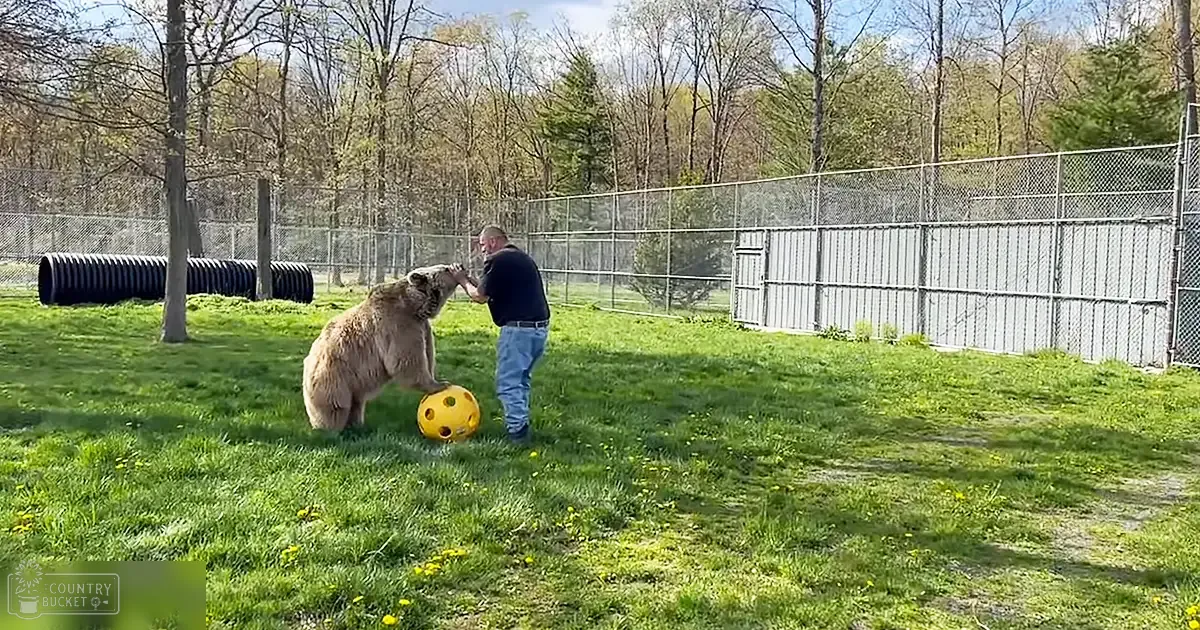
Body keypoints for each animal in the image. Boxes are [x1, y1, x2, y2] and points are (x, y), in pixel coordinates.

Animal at [302, 263, 464, 432]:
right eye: (446, 269)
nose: (460, 266)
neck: (414, 306)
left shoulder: (422, 327)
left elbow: (427, 353)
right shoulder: (398, 325)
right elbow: (405, 362)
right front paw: (439, 385)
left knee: (356, 403)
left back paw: (356, 425)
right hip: (333, 376)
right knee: (335, 406)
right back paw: (330, 429)